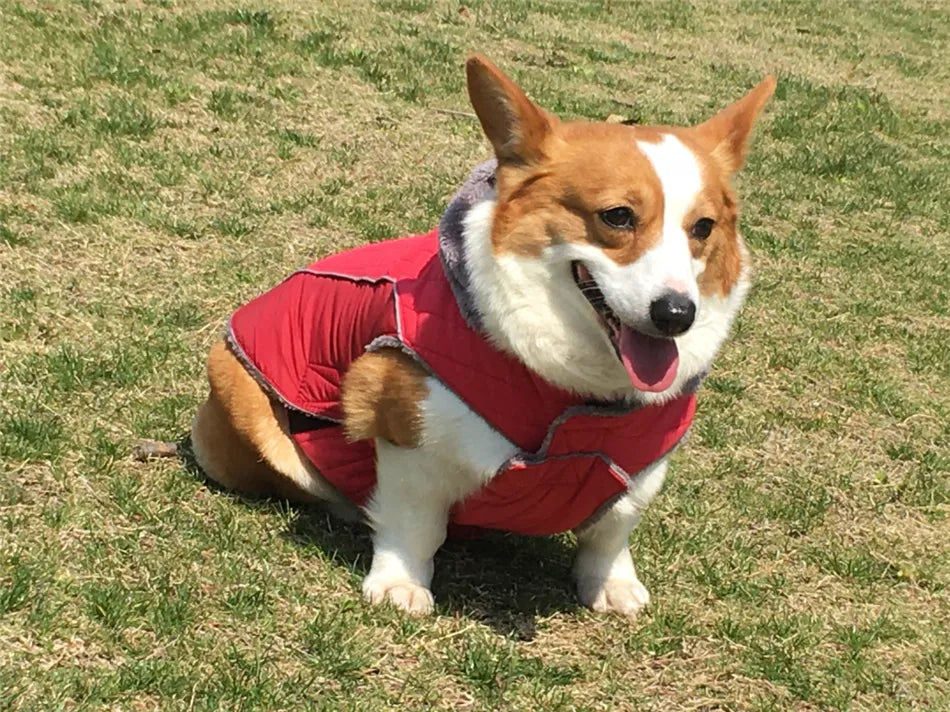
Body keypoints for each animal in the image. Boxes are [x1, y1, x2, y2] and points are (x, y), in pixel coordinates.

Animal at [192, 55, 772, 616]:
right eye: (617, 217)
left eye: (703, 228)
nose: (676, 314)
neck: (578, 385)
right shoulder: (406, 429)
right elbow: (414, 522)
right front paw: (401, 585)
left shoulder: (640, 461)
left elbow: (612, 529)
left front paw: (611, 585)